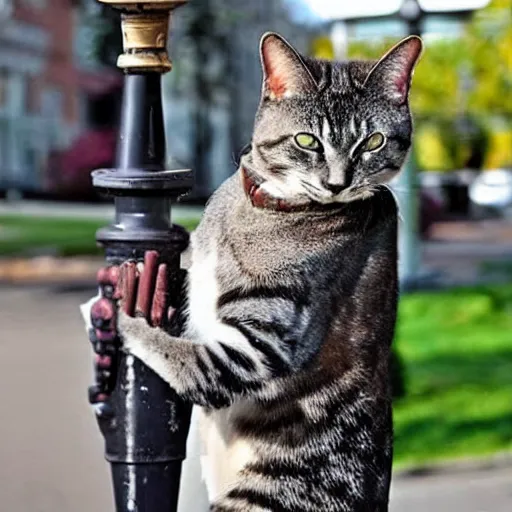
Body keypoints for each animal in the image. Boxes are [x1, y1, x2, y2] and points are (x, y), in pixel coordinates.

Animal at [83, 33, 420, 512]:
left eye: (372, 141)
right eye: (307, 140)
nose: (337, 183)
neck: (265, 209)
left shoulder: (257, 350)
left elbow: (184, 359)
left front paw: (124, 314)